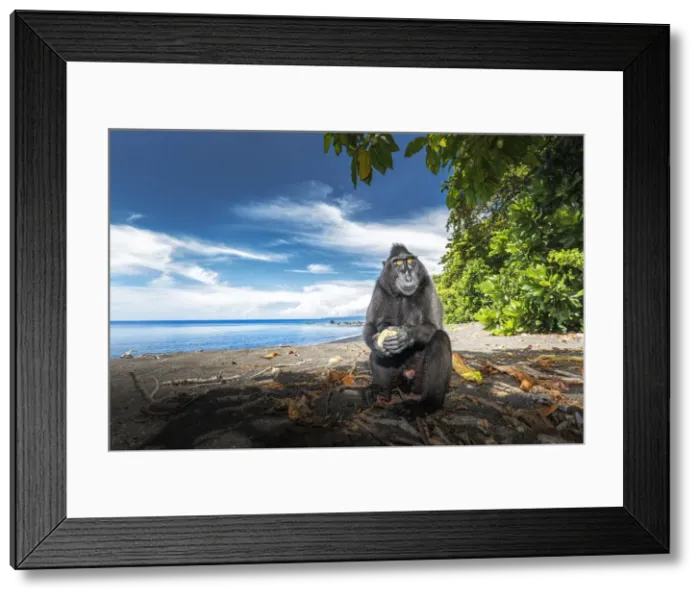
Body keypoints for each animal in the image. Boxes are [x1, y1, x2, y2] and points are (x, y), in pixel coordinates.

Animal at [362, 243, 453, 420]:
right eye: (397, 263)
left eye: (410, 261)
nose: (407, 275)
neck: (402, 295)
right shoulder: (380, 288)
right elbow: (371, 326)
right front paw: (377, 342)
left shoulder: (427, 285)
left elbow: (433, 326)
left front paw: (405, 336)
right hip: (398, 378)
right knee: (379, 353)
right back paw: (381, 392)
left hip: (420, 381)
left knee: (440, 338)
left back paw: (426, 404)